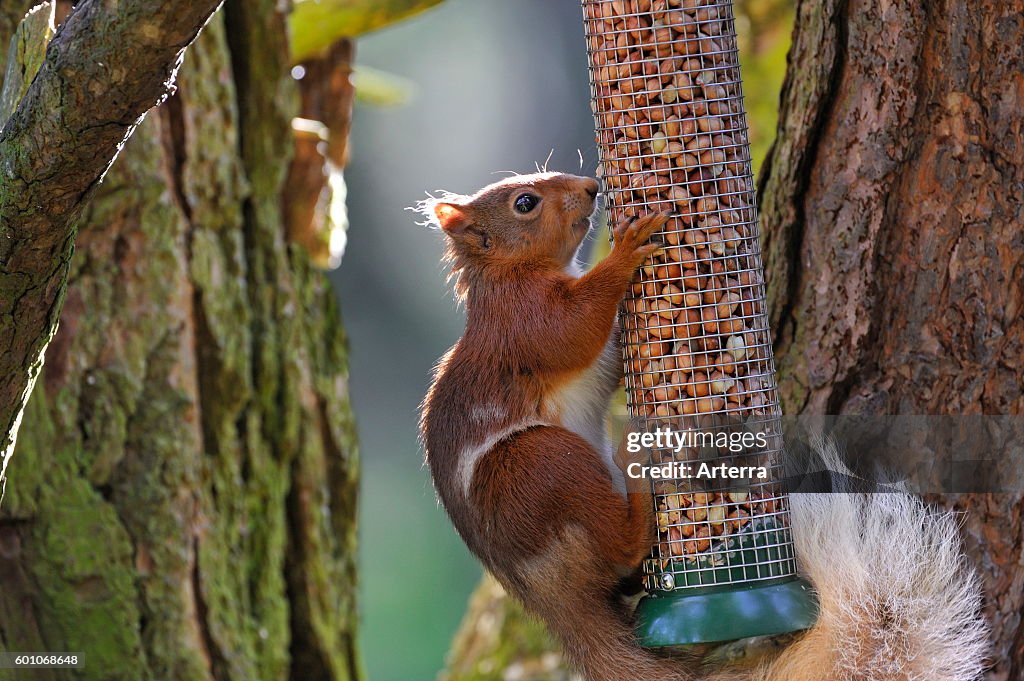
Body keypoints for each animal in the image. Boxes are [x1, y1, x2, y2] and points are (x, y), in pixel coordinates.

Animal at [419, 171, 987, 679]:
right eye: (525, 203)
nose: (591, 186)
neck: (508, 275)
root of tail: (551, 600)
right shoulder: (524, 323)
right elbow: (573, 329)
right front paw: (626, 251)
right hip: (540, 466)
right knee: (618, 543)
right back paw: (641, 486)